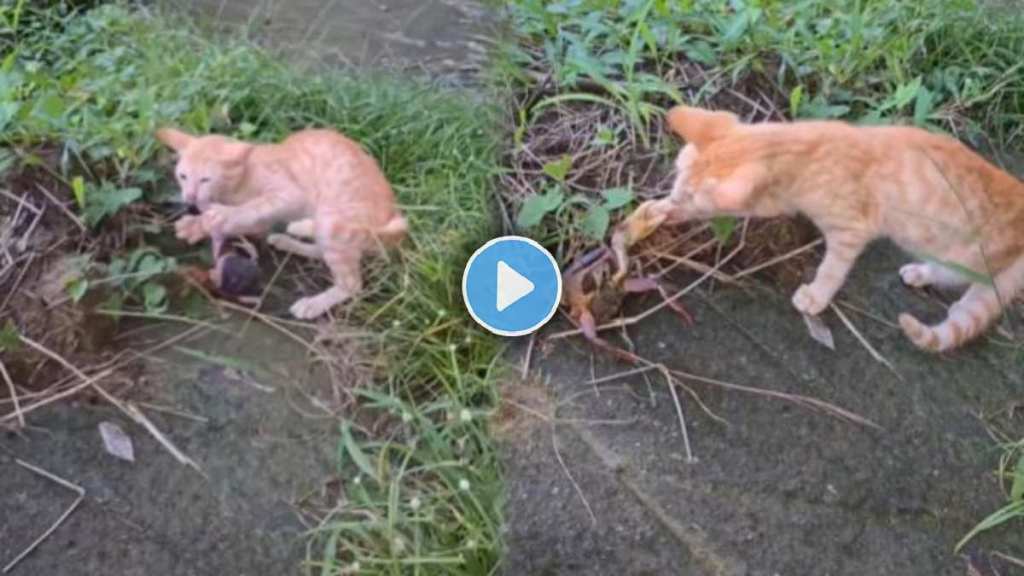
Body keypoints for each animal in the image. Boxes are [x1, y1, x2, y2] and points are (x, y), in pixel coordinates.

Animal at [157, 125, 405, 317]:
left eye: (205, 179)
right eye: (182, 176)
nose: (189, 198)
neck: (242, 177)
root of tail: (392, 220)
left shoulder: (290, 194)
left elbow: (251, 208)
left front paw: (206, 221)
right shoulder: (257, 220)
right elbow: (241, 224)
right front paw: (207, 227)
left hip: (334, 212)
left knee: (351, 283)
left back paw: (313, 304)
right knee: (322, 250)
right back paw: (288, 242)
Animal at [614, 105, 1024, 352]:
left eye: (690, 200)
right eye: (676, 189)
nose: (672, 204)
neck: (804, 148)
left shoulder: (851, 231)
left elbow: (832, 269)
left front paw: (815, 297)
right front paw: (649, 214)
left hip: (964, 258)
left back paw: (926, 275)